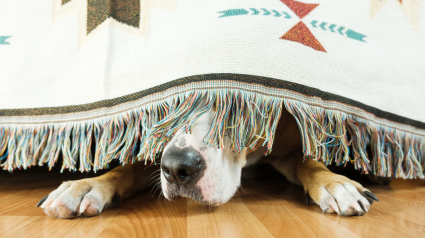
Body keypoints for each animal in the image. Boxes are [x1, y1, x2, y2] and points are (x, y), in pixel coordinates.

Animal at [36, 100, 380, 218]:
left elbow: (311, 162)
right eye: (171, 105)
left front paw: (335, 184)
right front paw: (87, 185)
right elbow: (127, 168)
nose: (177, 168)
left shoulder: (290, 146)